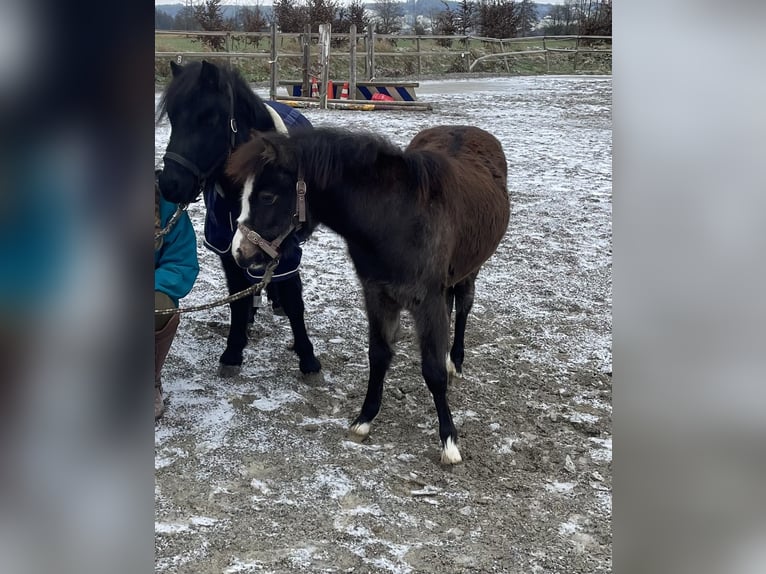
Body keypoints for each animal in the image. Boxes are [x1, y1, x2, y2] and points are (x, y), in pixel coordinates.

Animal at [158, 59, 320, 378]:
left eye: (209, 119)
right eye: (172, 117)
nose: (170, 184)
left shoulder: (285, 244)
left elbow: (294, 299)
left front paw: (307, 358)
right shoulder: (224, 243)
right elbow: (237, 296)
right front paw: (234, 350)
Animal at [226, 125, 510, 464]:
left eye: (268, 197)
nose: (240, 253)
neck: (397, 220)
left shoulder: (425, 301)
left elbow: (433, 372)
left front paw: (449, 441)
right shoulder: (376, 294)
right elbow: (378, 355)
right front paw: (364, 419)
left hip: (471, 268)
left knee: (464, 307)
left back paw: (455, 360)